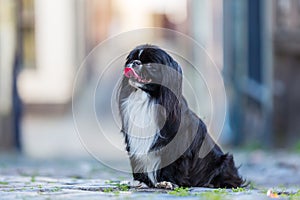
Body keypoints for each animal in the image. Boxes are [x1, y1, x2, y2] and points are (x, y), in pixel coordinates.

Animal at [117, 44, 244, 188]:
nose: (135, 63)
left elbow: (171, 166)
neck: (147, 98)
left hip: (224, 162)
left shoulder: (175, 146)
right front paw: (141, 182)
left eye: (150, 65)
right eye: (131, 59)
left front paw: (168, 182)